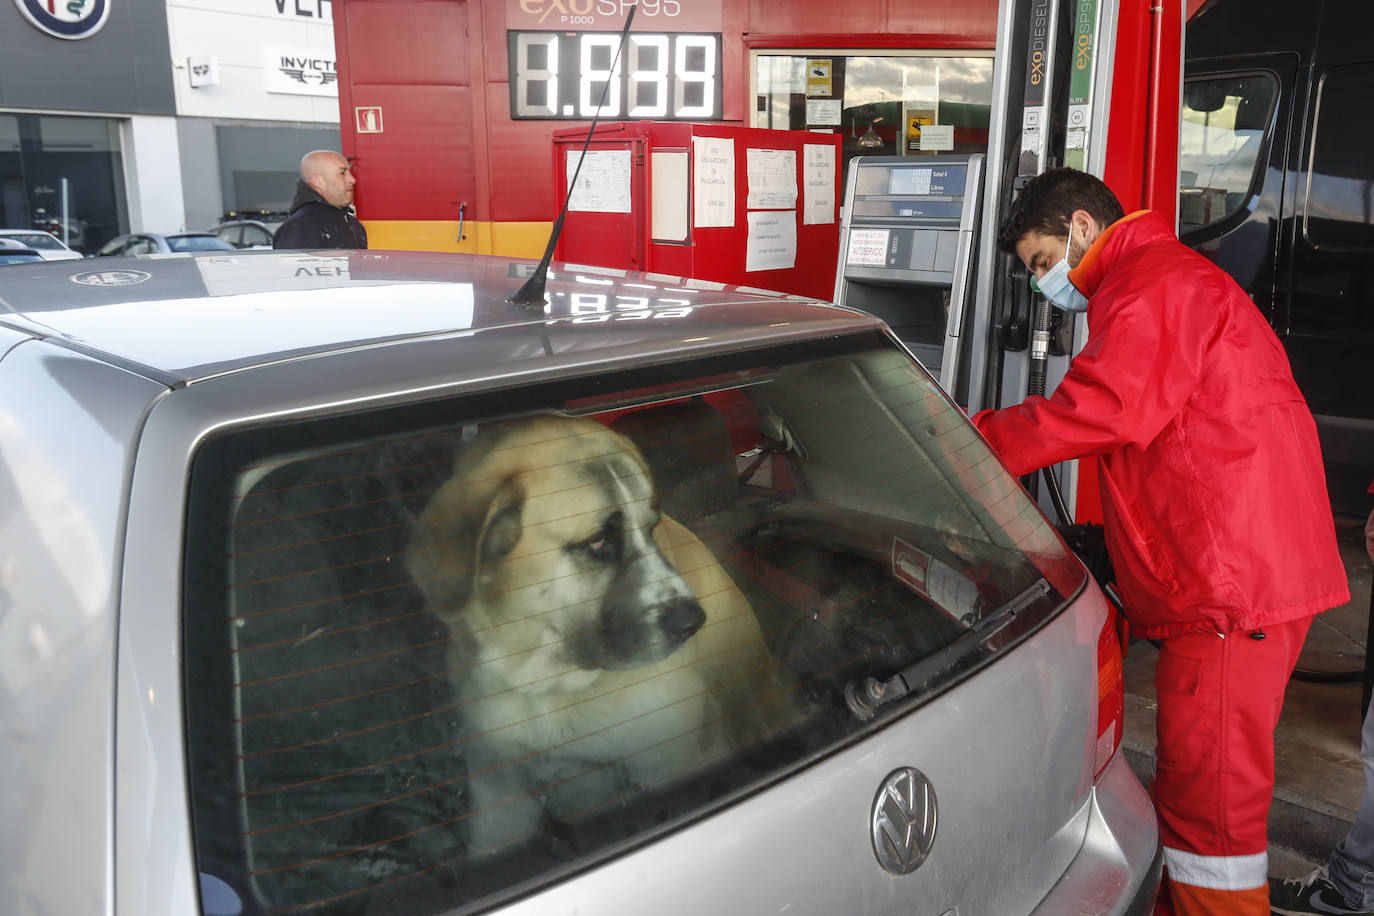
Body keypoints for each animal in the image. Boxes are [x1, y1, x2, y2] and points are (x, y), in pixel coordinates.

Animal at [403, 414, 796, 862]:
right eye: (597, 542)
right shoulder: (499, 792)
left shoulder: (671, 764)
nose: (692, 621)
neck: (547, 686)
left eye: (651, 528)